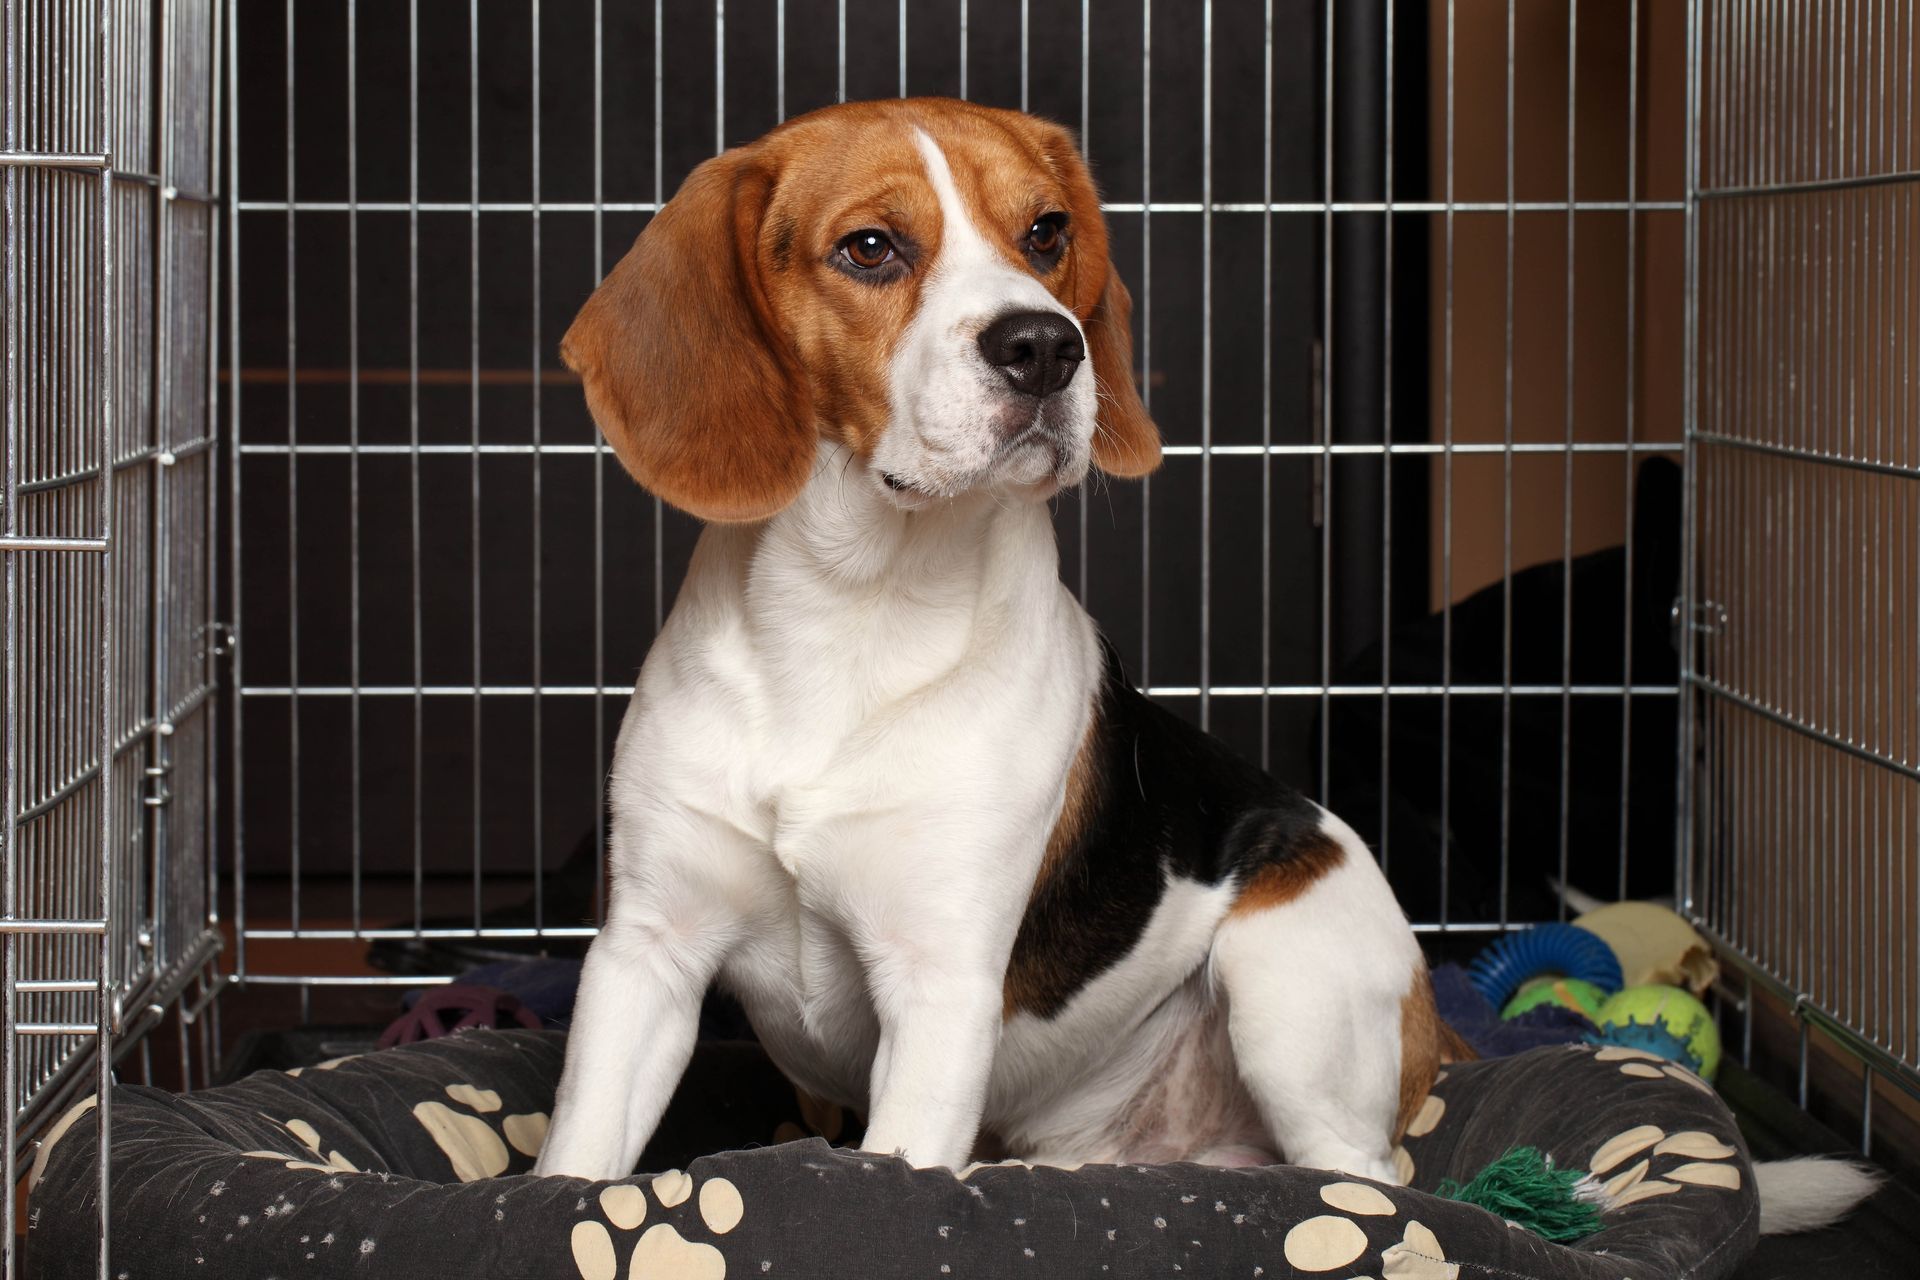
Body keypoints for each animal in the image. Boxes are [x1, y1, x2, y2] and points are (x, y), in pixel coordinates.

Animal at [533, 100, 1459, 1189]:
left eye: (1046, 233)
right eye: (872, 247)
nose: (1047, 346)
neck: (854, 610)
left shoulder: (940, 982)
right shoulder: (645, 952)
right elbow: (575, 1162)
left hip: (1286, 982)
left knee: (1365, 1177)